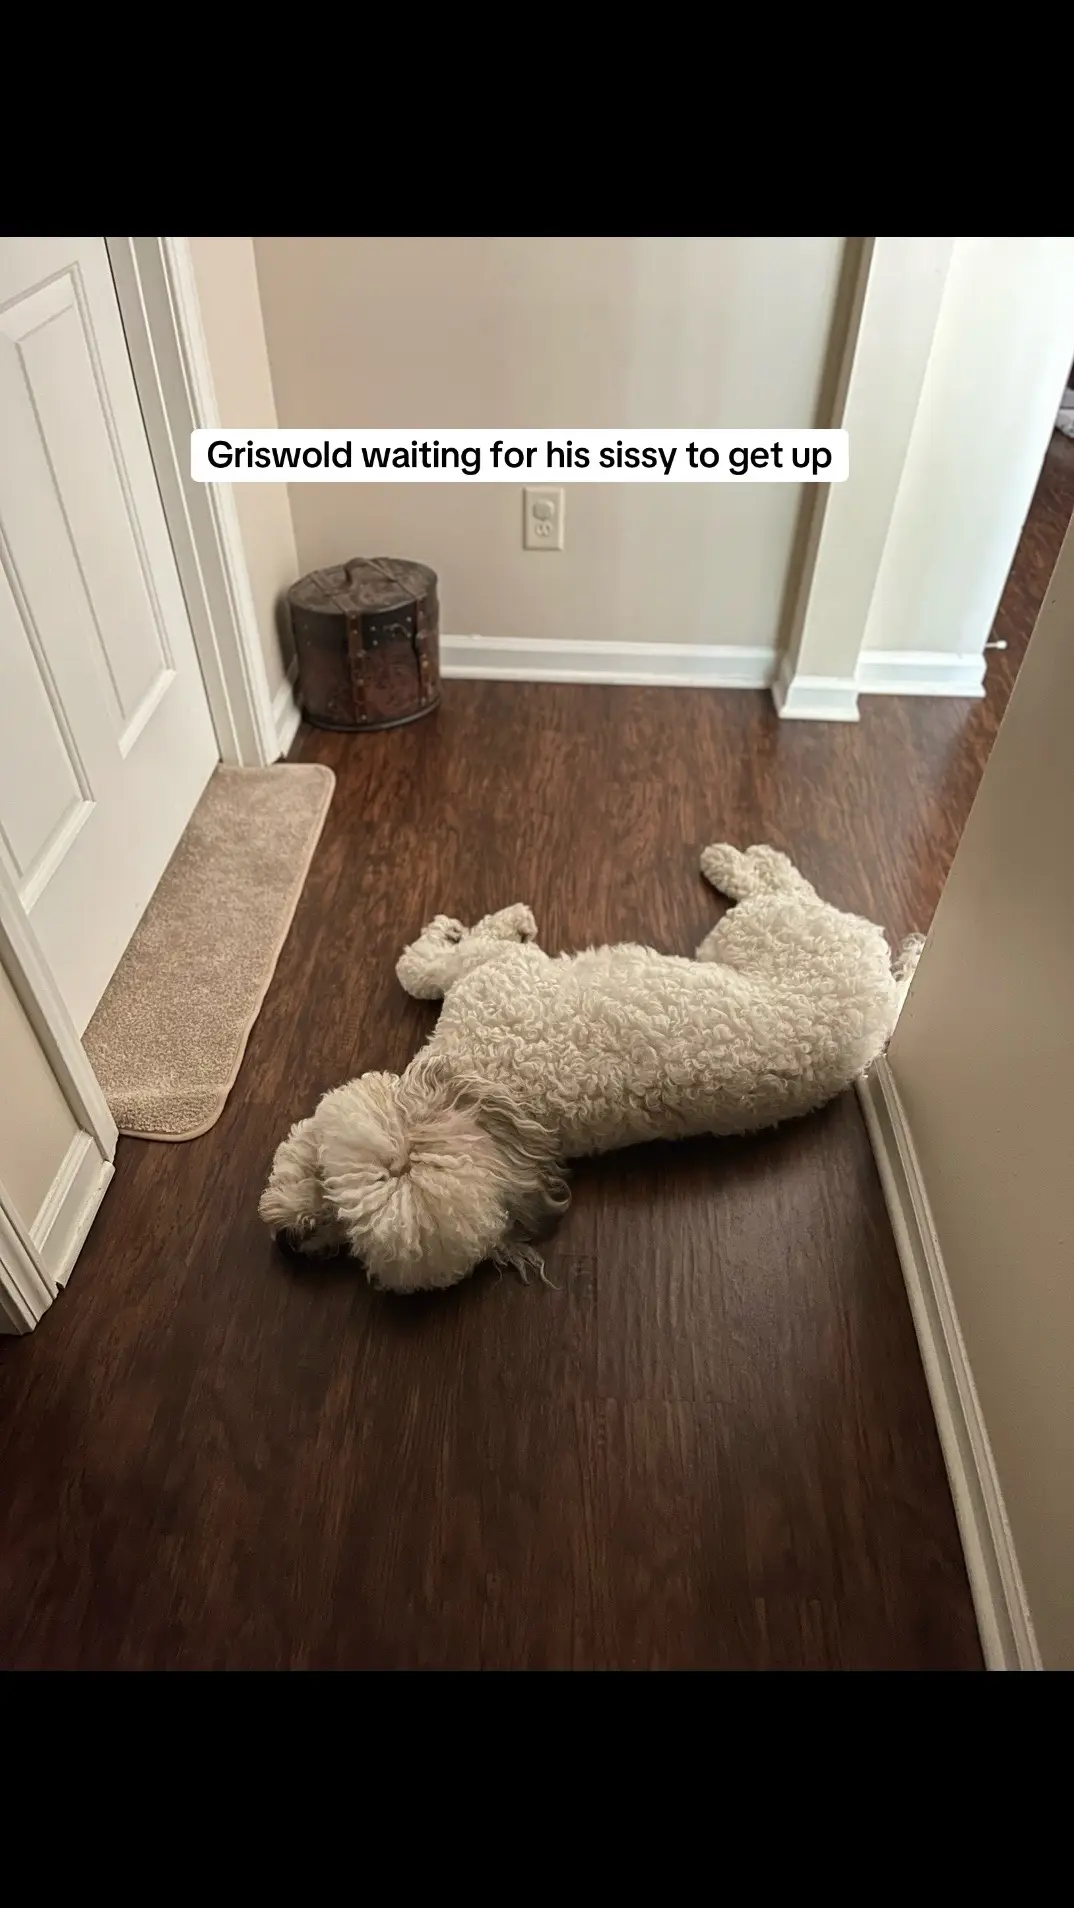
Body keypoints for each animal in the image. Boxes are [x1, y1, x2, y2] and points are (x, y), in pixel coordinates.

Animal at [257, 839, 915, 1297]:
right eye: (342, 1242)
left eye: (326, 1185)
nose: (291, 1243)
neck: (492, 1092)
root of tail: (885, 989)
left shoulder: (493, 974)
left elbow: (428, 967)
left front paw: (473, 927)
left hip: (761, 931)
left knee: (787, 889)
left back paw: (734, 860)